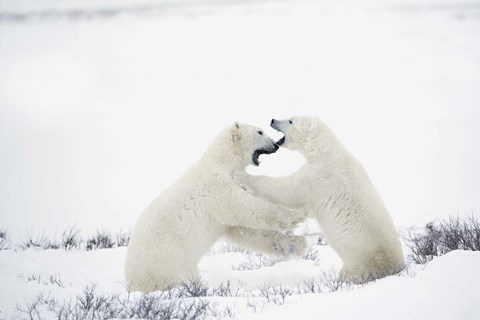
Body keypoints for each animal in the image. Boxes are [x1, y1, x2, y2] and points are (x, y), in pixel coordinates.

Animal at [125, 122, 306, 292]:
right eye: (259, 131)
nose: (275, 145)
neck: (221, 162)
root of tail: (133, 283)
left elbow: (244, 231)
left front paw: (297, 244)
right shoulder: (217, 187)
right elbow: (246, 207)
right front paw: (297, 216)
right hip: (171, 259)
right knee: (185, 277)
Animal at [238, 117, 404, 282]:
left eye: (291, 120)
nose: (273, 120)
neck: (324, 151)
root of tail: (398, 265)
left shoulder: (319, 176)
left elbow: (288, 190)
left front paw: (244, 177)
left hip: (363, 259)